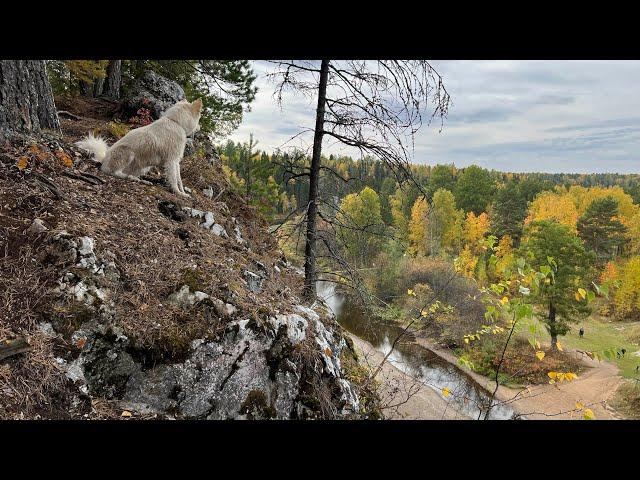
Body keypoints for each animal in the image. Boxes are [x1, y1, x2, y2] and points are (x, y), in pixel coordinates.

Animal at [76, 97, 204, 197]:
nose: (200, 127)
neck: (176, 122)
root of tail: (104, 158)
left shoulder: (176, 162)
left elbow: (179, 180)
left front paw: (183, 192)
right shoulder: (171, 161)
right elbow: (174, 180)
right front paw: (178, 193)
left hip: (143, 167)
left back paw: (142, 181)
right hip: (128, 154)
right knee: (113, 172)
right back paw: (130, 178)